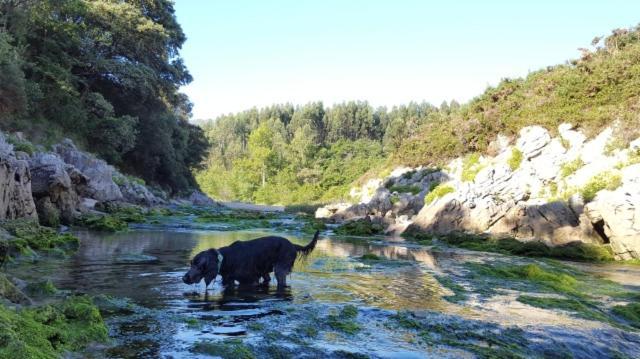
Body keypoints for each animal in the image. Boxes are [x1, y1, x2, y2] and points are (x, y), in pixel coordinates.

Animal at [181, 232, 318, 292]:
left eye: (199, 265)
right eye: (191, 263)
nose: (184, 278)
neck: (226, 259)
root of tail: (293, 245)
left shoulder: (249, 281)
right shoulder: (229, 280)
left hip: (280, 269)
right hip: (264, 270)